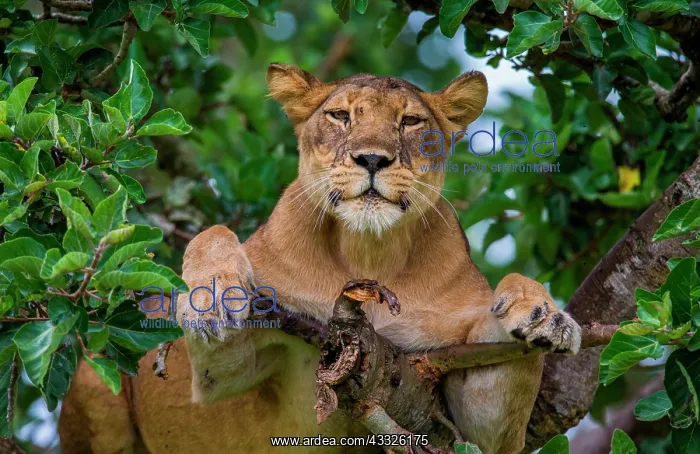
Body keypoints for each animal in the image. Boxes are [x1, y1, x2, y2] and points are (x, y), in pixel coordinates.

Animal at [58, 63, 581, 454]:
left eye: (410, 122)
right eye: (340, 116)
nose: (372, 159)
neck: (369, 251)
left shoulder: (465, 420)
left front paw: (545, 317)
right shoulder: (218, 375)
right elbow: (214, 234)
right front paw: (212, 296)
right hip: (91, 380)